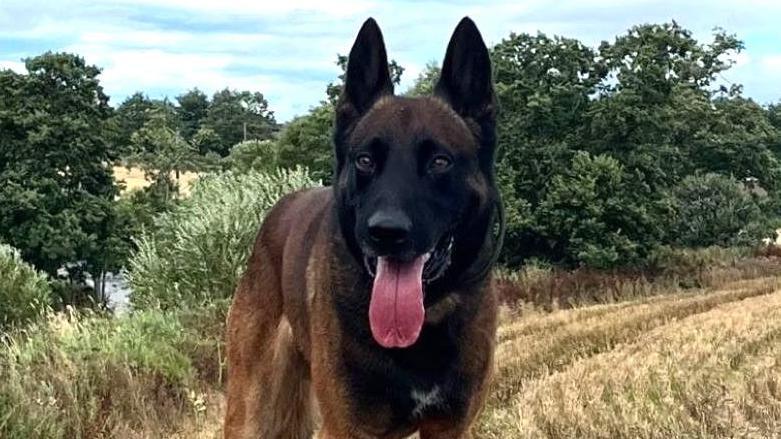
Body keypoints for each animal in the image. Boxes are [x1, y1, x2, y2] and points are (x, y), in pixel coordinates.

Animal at [224, 15, 506, 439]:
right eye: (365, 160)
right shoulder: (347, 426)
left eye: (439, 162)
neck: (426, 320)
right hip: (252, 410)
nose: (385, 233)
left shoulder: (449, 428)